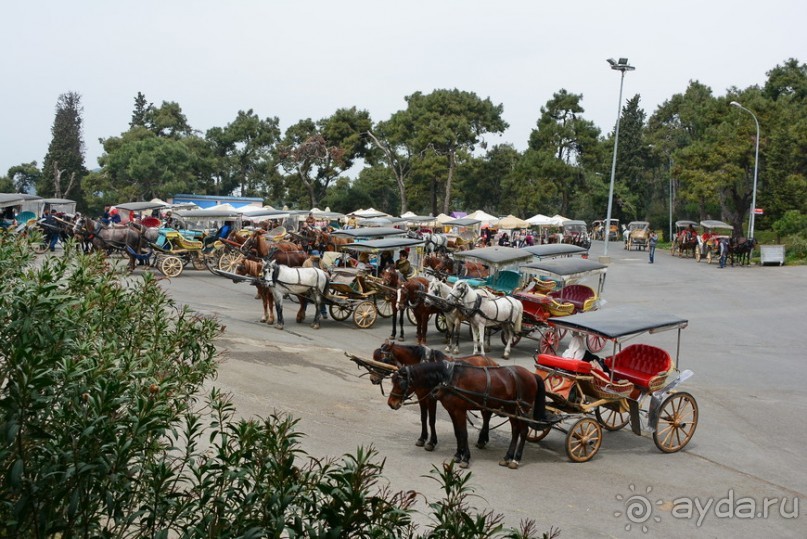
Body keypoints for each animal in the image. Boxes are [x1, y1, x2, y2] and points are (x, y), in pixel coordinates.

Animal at [386, 360, 552, 470]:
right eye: (392, 381)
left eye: (401, 383)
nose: (391, 403)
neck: (448, 378)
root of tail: (531, 375)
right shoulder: (452, 410)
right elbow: (457, 433)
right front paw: (458, 455)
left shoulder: (460, 410)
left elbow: (463, 434)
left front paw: (465, 458)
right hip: (511, 409)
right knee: (516, 431)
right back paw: (507, 457)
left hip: (522, 409)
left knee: (523, 431)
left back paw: (516, 459)